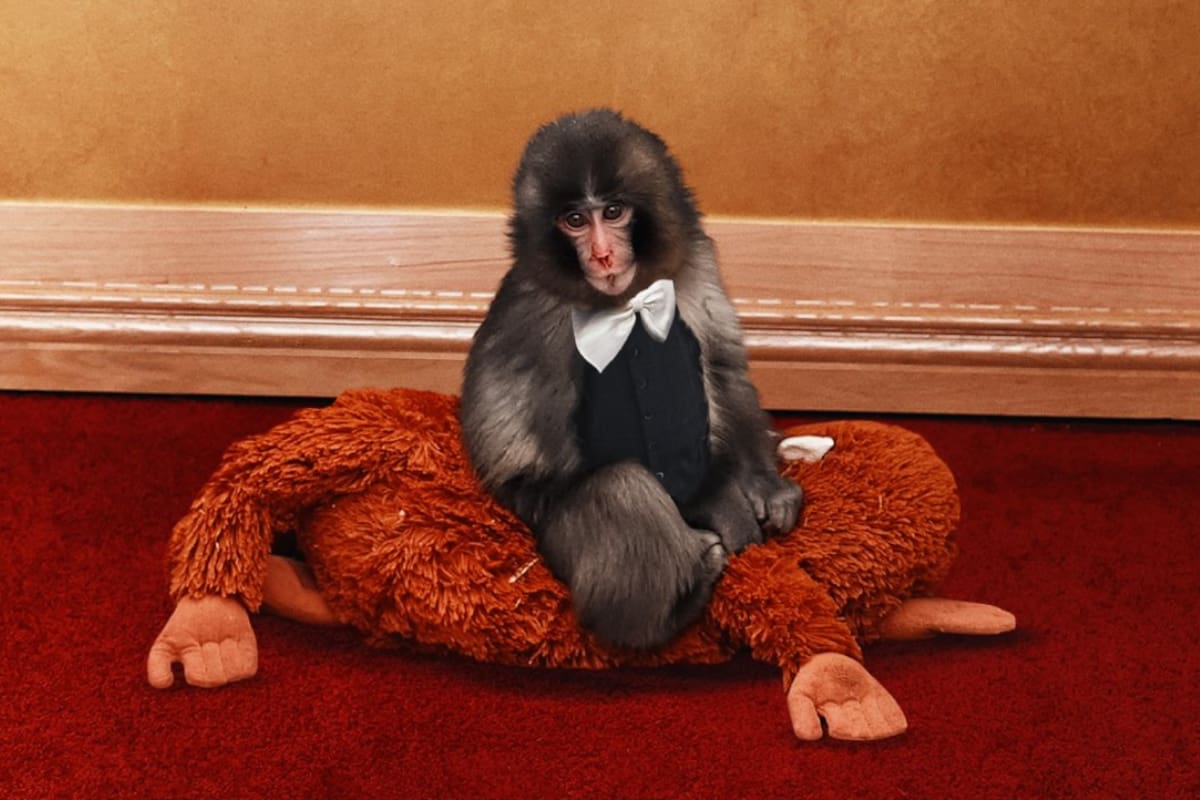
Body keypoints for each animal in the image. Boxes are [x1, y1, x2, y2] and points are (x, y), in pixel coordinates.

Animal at [460, 109, 802, 651]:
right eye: (575, 220)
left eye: (614, 212)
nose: (601, 255)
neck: (628, 303)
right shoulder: (535, 317)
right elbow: (536, 457)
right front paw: (721, 499)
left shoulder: (696, 265)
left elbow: (723, 364)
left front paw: (762, 486)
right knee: (616, 485)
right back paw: (678, 602)